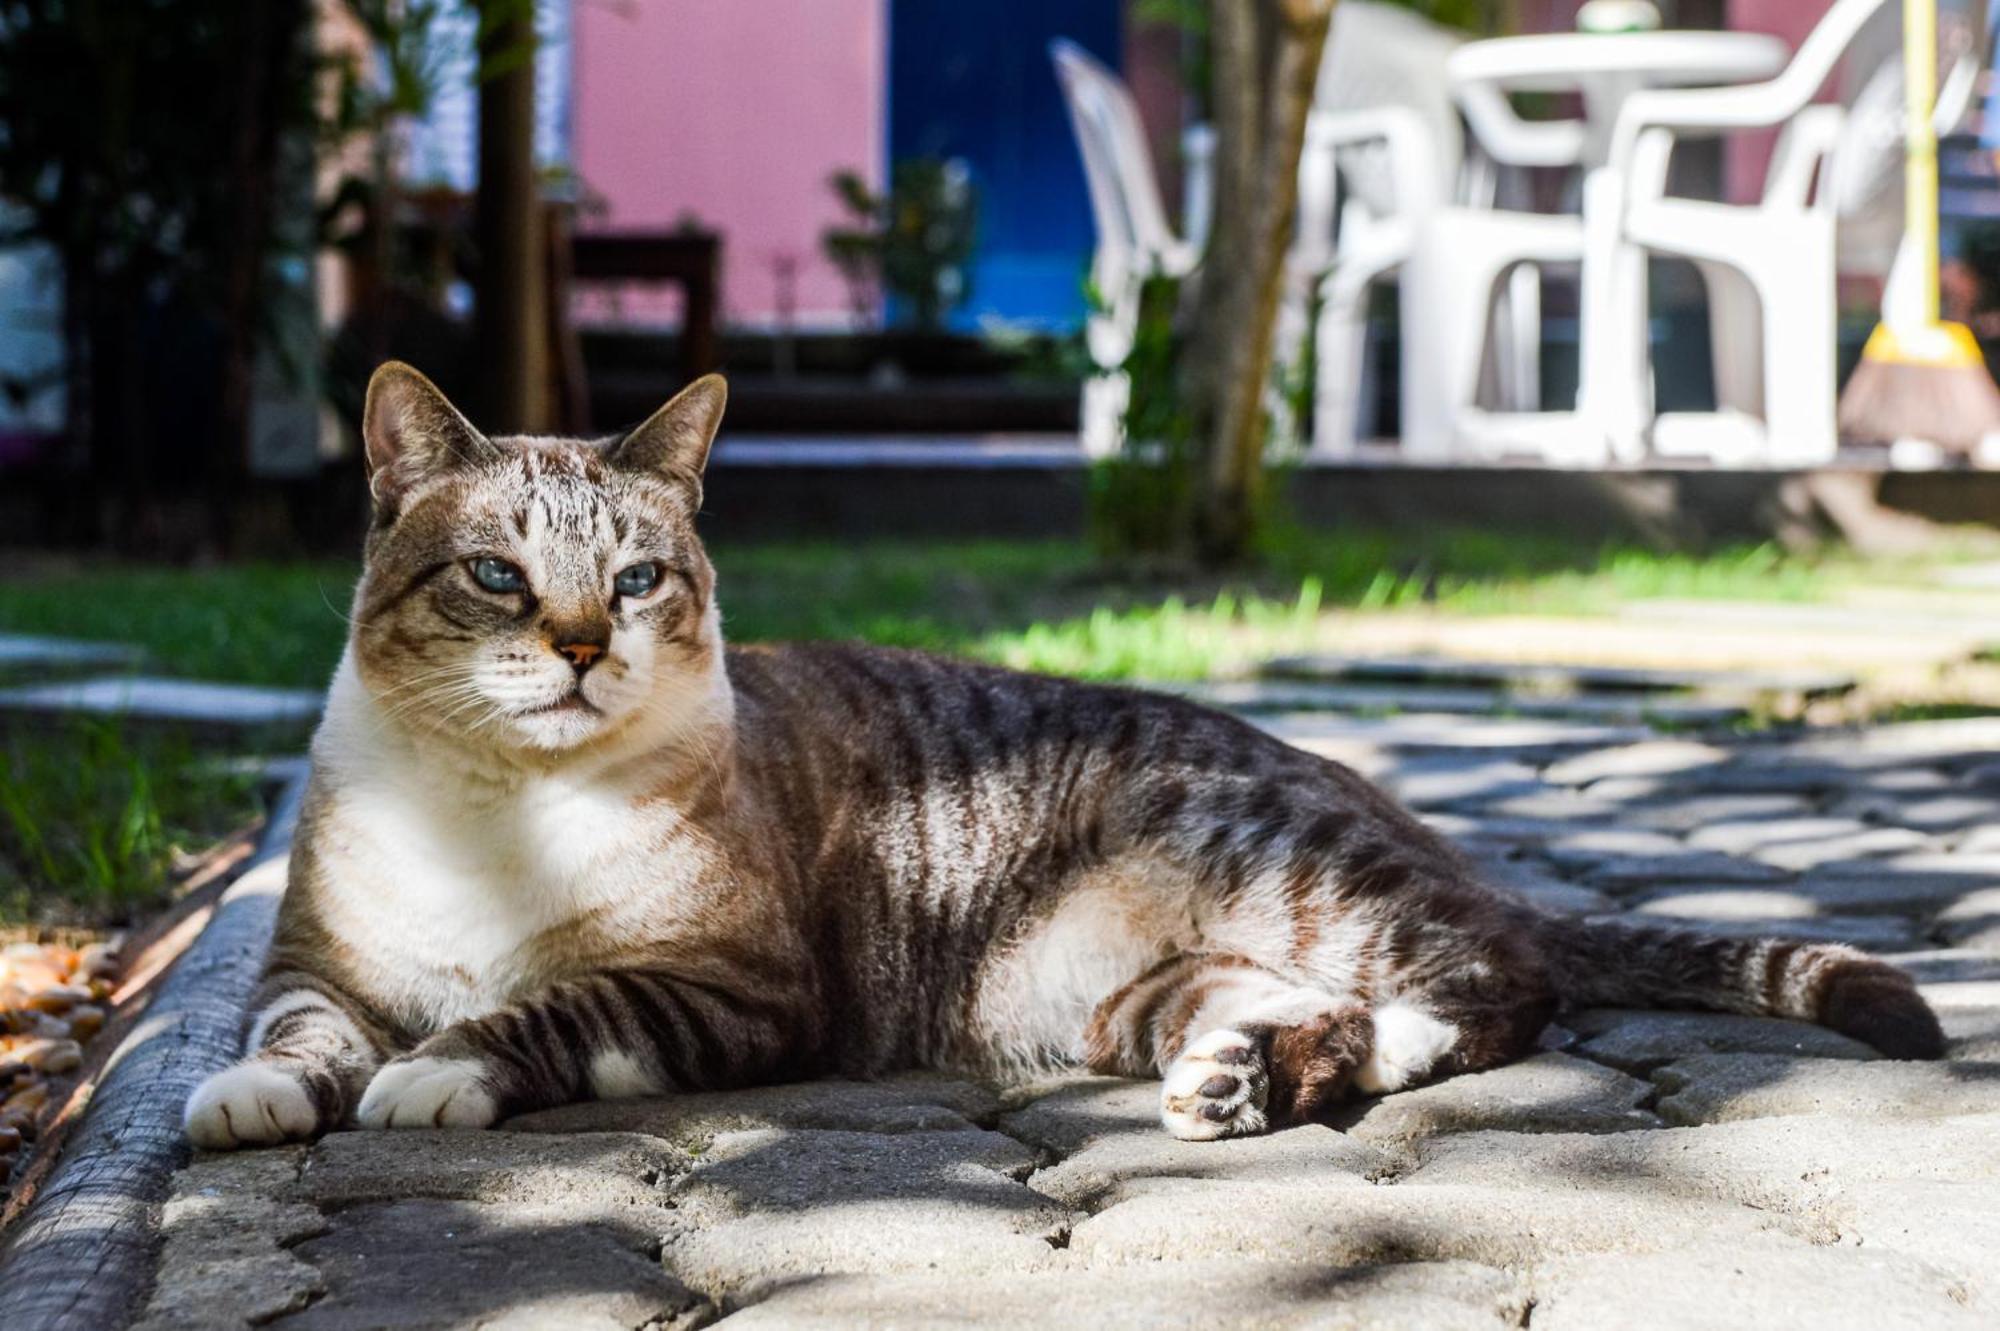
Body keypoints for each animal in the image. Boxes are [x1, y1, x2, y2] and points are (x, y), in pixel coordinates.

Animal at [184, 365, 1936, 1151]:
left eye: (634, 579)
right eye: (497, 574)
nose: (576, 647)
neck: (502, 816)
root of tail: (1409, 818)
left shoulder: (736, 986)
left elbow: (547, 1009)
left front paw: (440, 1068)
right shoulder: (319, 955)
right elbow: (295, 1025)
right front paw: (260, 1092)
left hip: (1302, 879)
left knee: (1499, 981)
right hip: (1116, 985)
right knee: (1302, 1014)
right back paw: (1240, 1072)